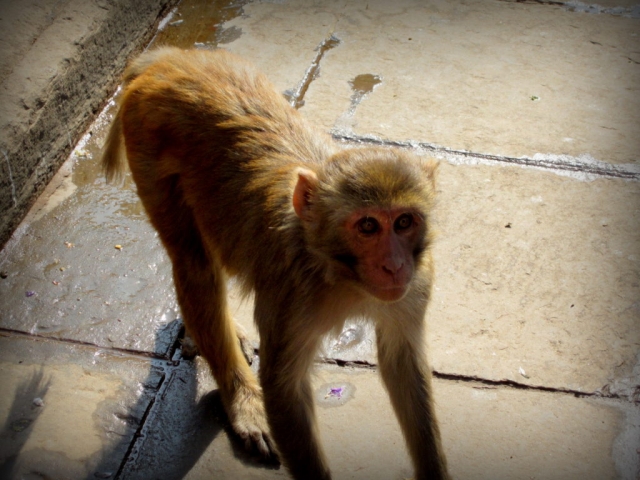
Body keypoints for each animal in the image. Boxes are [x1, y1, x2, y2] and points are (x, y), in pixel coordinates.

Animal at [101, 46, 450, 480]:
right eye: (368, 225)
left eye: (404, 222)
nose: (394, 265)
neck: (340, 274)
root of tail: (169, 60)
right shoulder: (291, 293)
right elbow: (284, 390)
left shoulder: (418, 282)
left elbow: (403, 363)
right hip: (145, 141)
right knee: (195, 263)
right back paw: (240, 397)